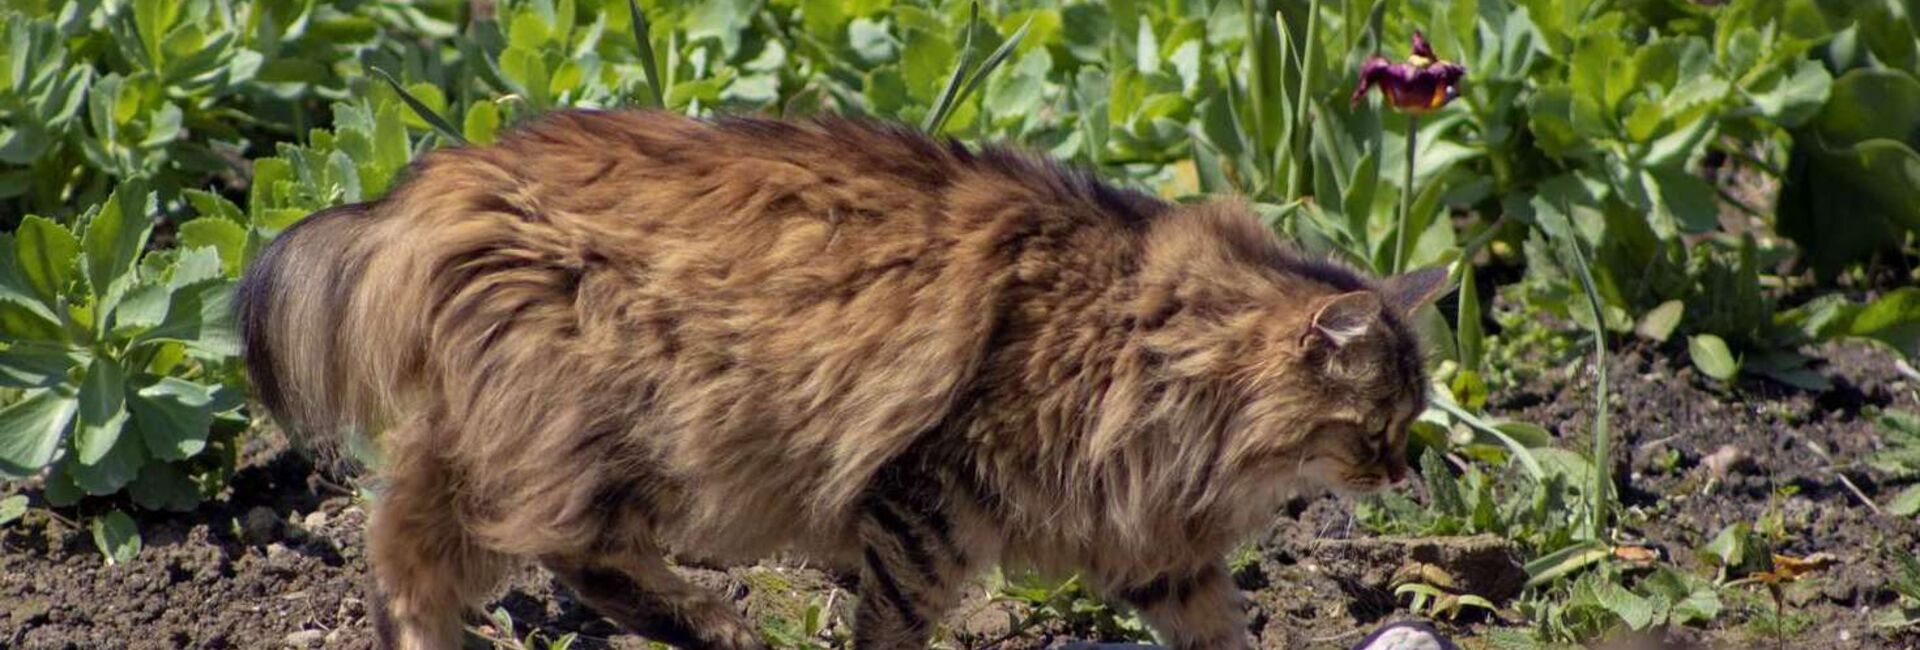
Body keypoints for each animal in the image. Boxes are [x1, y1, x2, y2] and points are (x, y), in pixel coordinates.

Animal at [236, 109, 1443, 648]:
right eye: (1378, 424)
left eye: (1411, 421)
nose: (1405, 472)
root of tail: (436, 179)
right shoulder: (931, 496)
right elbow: (893, 621)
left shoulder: (1155, 544)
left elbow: (1219, 624)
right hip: (627, 420)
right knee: (574, 550)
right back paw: (720, 627)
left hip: (479, 434)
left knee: (407, 557)